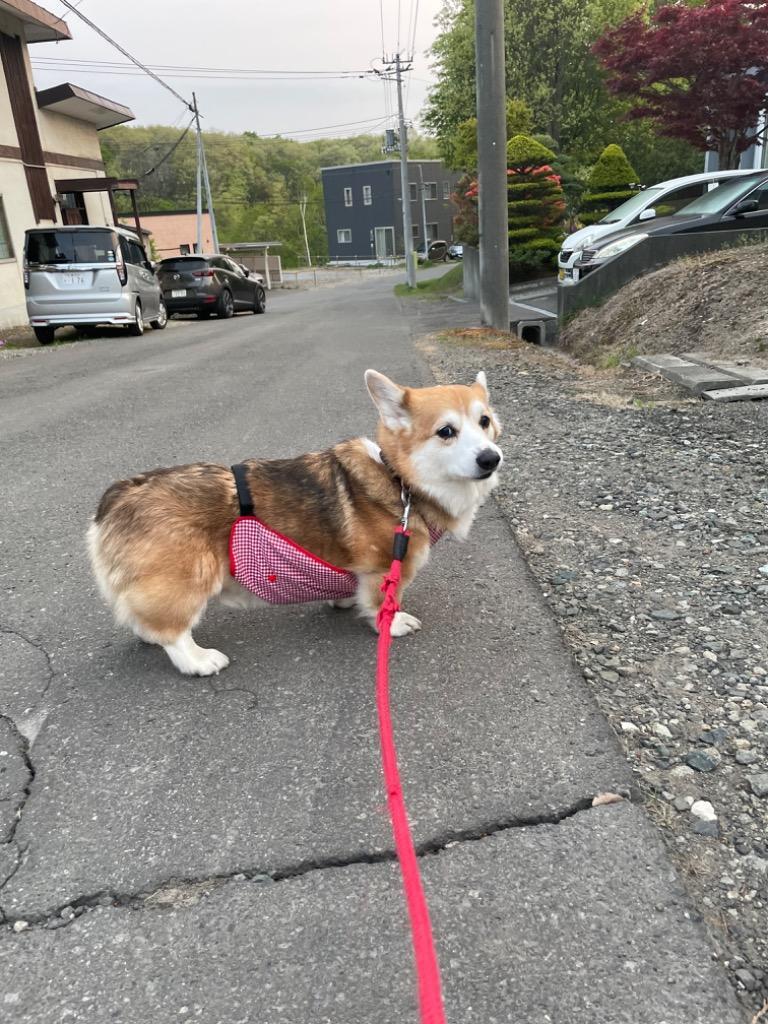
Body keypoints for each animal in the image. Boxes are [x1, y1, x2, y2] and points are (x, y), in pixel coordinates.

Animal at [88, 372, 505, 675]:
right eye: (446, 431)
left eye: (485, 422)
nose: (492, 458)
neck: (399, 480)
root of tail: (116, 498)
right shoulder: (383, 567)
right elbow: (379, 603)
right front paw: (392, 622)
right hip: (190, 577)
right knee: (173, 632)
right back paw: (200, 660)